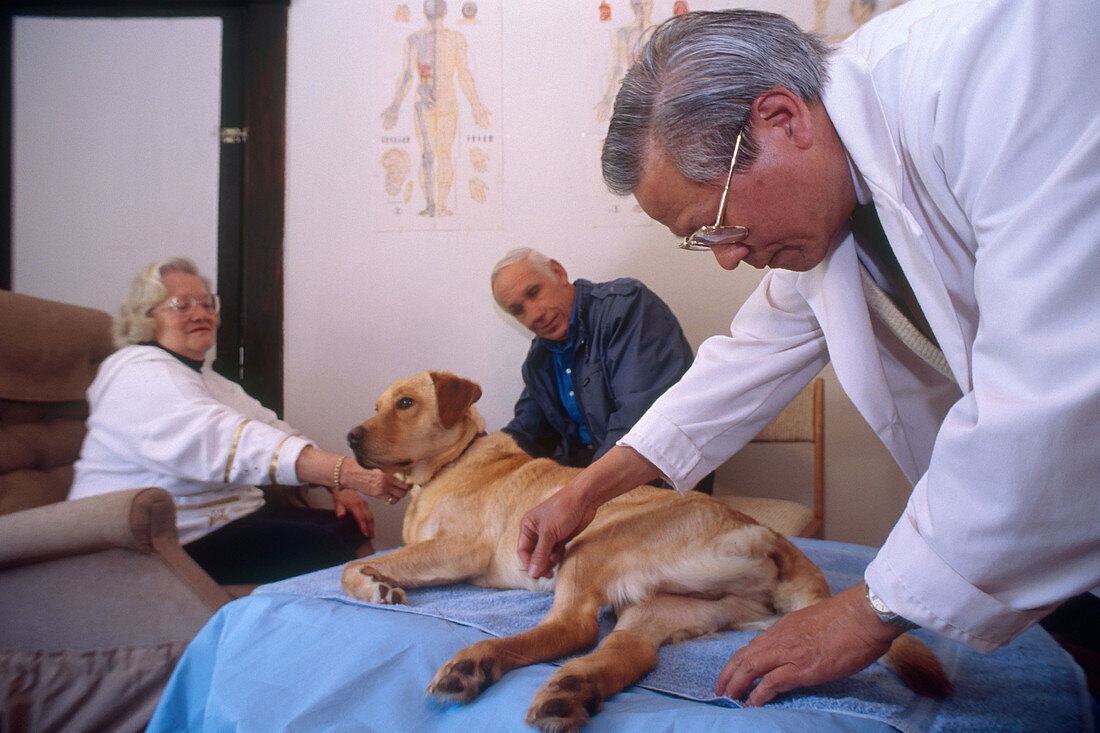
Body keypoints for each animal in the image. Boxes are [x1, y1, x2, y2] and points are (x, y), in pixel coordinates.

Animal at [338, 374, 950, 726]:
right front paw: (380, 583)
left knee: (573, 629)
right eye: (378, 404)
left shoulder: (462, 550)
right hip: (666, 608)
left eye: (406, 403)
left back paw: (478, 663)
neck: (449, 465)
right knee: (631, 654)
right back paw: (568, 691)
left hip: (589, 546)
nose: (349, 437)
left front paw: (376, 584)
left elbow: (352, 565)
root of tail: (771, 536)